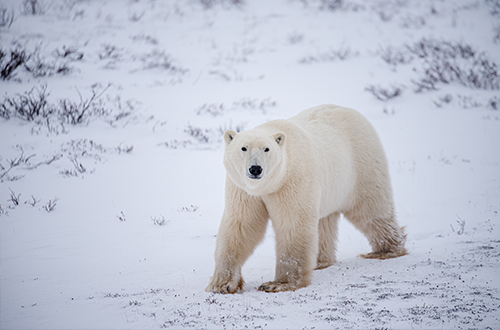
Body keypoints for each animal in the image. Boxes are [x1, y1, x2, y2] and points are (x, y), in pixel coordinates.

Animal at [206, 104, 406, 292]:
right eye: (244, 148)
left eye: (266, 149)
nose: (255, 169)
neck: (270, 185)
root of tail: (353, 112)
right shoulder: (243, 190)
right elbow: (241, 225)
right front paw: (222, 284)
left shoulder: (292, 181)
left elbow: (292, 225)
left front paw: (278, 284)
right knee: (324, 222)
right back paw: (320, 261)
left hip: (362, 165)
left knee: (371, 208)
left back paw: (386, 250)